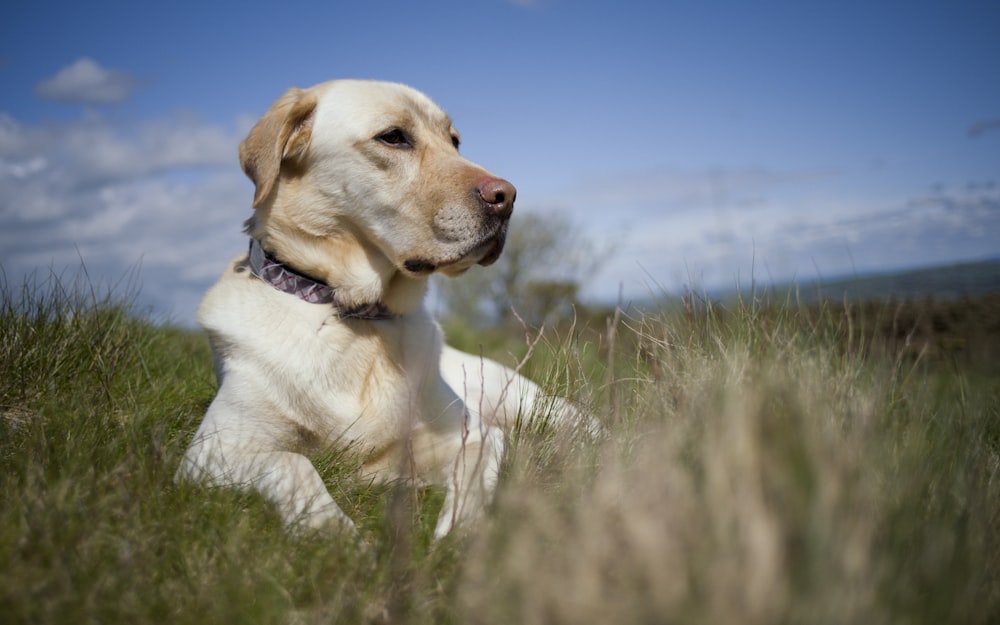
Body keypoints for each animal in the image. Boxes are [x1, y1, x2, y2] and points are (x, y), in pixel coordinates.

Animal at [178, 78, 580, 536]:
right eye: (393, 137)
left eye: (454, 141)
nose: (507, 196)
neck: (356, 315)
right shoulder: (212, 450)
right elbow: (293, 463)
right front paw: (333, 534)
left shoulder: (476, 434)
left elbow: (475, 468)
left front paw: (458, 533)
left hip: (521, 400)